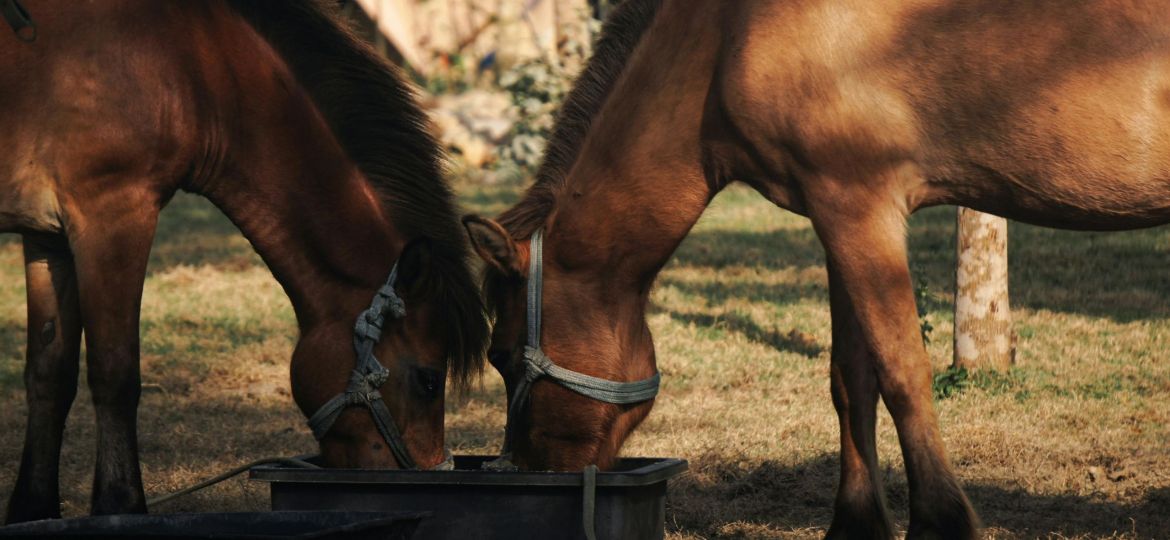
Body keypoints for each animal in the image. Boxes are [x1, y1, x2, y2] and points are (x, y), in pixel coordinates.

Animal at [0, 0, 488, 523]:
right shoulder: (112, 217)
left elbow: (49, 377)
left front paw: (31, 510)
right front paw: (120, 505)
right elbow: (115, 375)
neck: (194, 64)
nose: (424, 473)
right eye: (429, 380)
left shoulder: (48, 238)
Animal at [463, 0, 1170, 538]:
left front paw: (942, 522)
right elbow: (850, 380)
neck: (728, 36)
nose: (530, 469)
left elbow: (902, 373)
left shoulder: (861, 207)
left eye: (502, 355)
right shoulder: (834, 219)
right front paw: (856, 524)